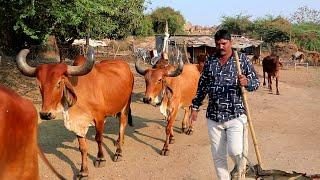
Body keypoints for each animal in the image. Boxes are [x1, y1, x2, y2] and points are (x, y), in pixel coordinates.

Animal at [16, 46, 134, 179]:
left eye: (59, 83)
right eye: (39, 85)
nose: (45, 114)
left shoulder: (99, 118)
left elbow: (99, 139)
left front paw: (100, 159)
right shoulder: (78, 123)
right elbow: (82, 148)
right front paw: (83, 171)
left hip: (125, 106)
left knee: (122, 126)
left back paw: (118, 152)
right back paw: (119, 141)